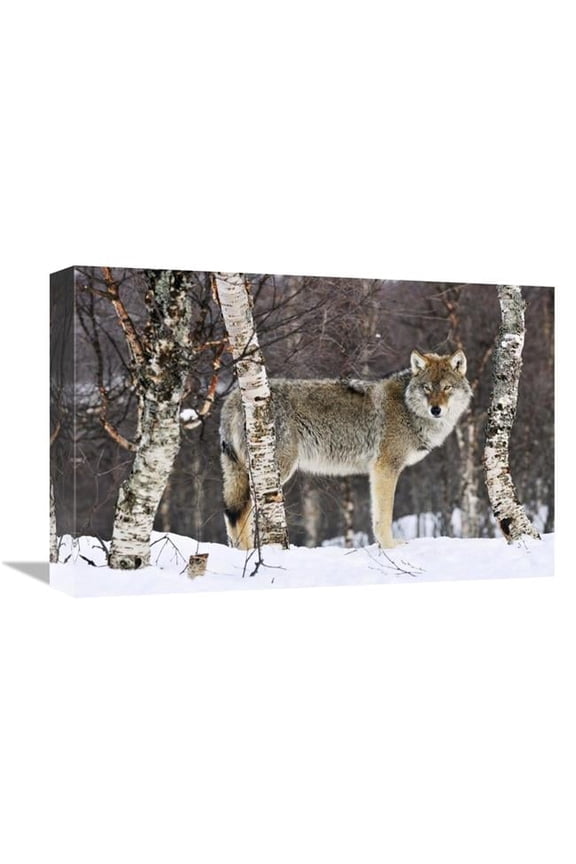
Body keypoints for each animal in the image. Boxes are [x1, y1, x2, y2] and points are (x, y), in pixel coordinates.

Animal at [219, 349, 472, 548]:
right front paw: (390, 547)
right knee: (242, 513)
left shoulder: (378, 471)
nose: (436, 410)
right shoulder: (385, 468)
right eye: (427, 388)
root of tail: (233, 397)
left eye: (447, 388)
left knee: (232, 514)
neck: (408, 408)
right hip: (273, 472)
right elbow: (384, 517)